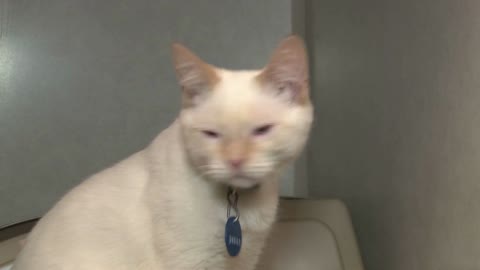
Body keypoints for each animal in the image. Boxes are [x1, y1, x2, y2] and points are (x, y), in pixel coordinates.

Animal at [13, 35, 314, 270]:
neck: (240, 201)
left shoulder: (245, 259)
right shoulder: (190, 262)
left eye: (262, 130)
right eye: (211, 134)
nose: (235, 161)